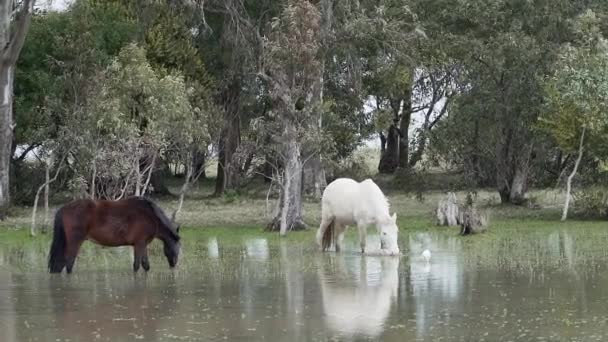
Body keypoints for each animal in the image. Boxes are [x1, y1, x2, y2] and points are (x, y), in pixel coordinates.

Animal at [48, 196, 180, 274]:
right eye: (178, 248)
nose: (174, 264)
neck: (151, 216)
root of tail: (64, 208)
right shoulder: (139, 244)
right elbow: (137, 266)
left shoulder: (143, 245)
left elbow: (146, 265)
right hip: (75, 242)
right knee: (69, 263)